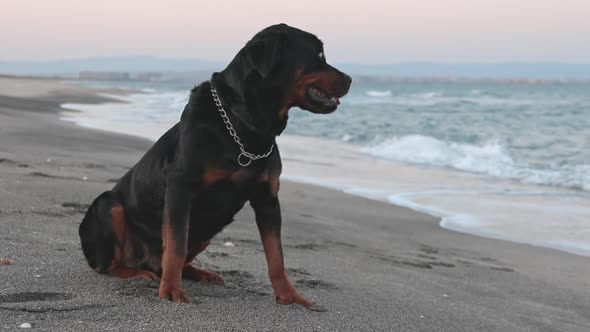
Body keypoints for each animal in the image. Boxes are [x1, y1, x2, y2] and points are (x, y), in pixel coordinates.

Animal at [76, 23, 350, 306]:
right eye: (319, 55)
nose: (351, 80)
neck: (248, 126)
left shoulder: (268, 200)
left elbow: (277, 257)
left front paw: (290, 296)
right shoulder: (180, 189)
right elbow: (175, 245)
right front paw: (171, 290)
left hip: (207, 230)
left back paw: (201, 273)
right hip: (108, 207)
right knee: (110, 263)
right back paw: (138, 273)